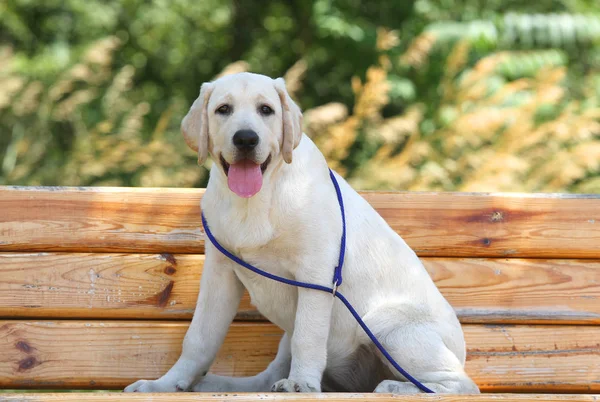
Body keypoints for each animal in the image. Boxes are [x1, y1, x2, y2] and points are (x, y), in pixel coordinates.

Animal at [124, 72, 480, 392]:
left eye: (266, 110)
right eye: (223, 109)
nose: (245, 139)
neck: (255, 200)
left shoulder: (316, 273)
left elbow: (308, 337)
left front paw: (301, 383)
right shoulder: (219, 273)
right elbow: (198, 337)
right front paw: (165, 384)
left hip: (389, 326)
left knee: (462, 384)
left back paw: (395, 387)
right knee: (267, 376)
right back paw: (216, 383)